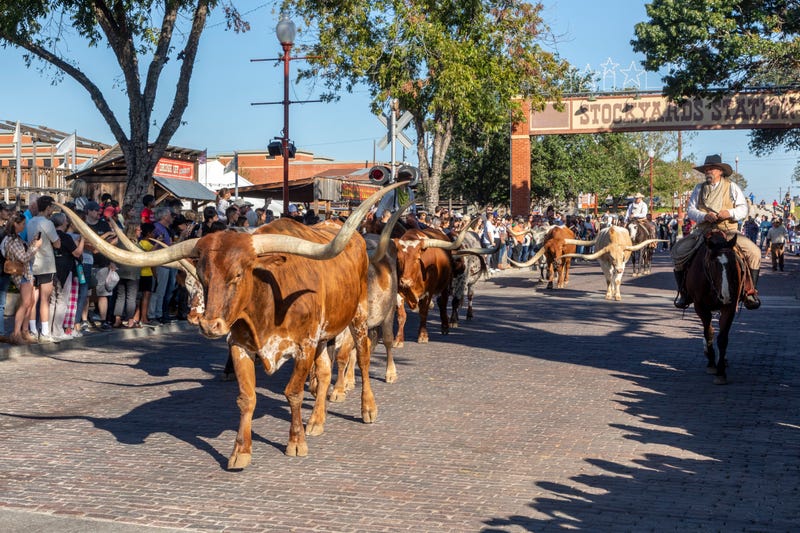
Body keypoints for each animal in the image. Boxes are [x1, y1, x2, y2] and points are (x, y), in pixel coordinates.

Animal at [57, 183, 402, 470]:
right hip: (325, 333)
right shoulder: (240, 346)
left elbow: (292, 393)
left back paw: (367, 408)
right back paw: (316, 421)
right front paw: (241, 452)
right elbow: (247, 398)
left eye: (238, 275)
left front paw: (295, 442)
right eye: (203, 276)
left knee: (363, 357)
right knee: (328, 370)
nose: (209, 324)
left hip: (357, 318)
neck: (266, 304)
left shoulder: (303, 345)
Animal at [684, 230, 744, 385]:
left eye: (733, 263)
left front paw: (721, 372)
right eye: (713, 264)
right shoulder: (700, 307)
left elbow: (722, 339)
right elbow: (708, 332)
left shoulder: (730, 307)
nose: (725, 295)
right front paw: (711, 363)